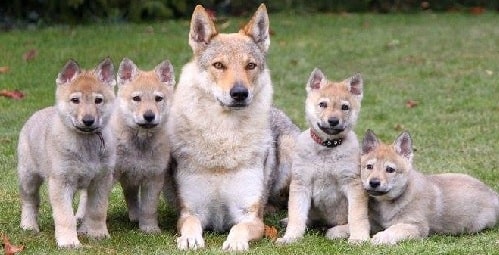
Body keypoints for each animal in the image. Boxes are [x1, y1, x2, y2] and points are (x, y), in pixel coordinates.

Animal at [362, 130, 498, 244]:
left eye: (390, 169)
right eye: (369, 167)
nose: (374, 182)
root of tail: (492, 194)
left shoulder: (416, 226)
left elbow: (396, 229)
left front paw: (381, 237)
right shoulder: (374, 223)